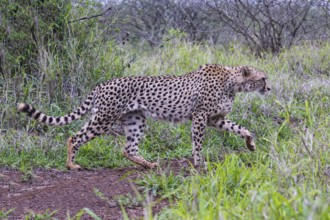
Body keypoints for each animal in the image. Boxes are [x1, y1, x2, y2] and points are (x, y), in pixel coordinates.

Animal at [18, 64, 270, 169]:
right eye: (263, 78)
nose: (269, 88)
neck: (233, 82)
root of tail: (102, 84)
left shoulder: (214, 118)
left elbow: (241, 128)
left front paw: (251, 144)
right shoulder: (200, 117)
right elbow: (198, 143)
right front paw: (199, 163)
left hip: (135, 119)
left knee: (128, 148)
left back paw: (148, 164)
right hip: (104, 119)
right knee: (75, 136)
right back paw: (71, 165)